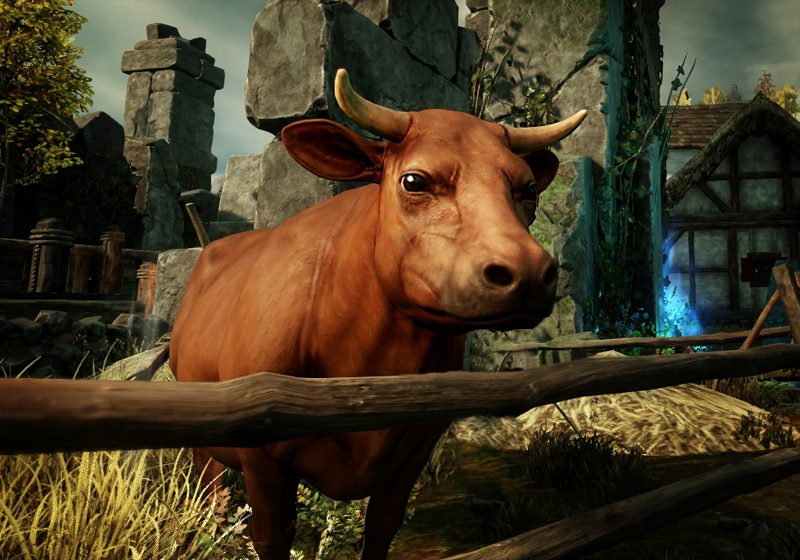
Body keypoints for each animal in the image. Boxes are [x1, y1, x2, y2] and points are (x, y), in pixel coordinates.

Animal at [167, 68, 586, 560]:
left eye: (529, 190)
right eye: (414, 181)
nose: (528, 271)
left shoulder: (415, 451)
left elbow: (382, 528)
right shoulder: (263, 459)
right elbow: (271, 536)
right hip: (204, 438)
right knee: (207, 493)